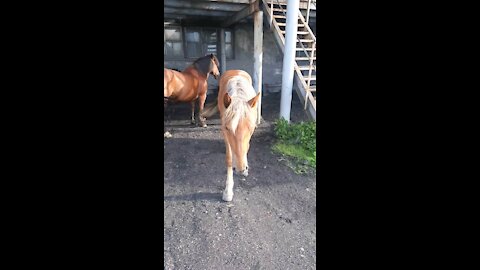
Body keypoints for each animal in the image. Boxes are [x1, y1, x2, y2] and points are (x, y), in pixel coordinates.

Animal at [201, 70, 260, 201]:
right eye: (228, 128)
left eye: (251, 128)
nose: (240, 168)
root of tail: (236, 70)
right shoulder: (225, 134)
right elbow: (229, 158)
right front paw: (228, 192)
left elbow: (245, 148)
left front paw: (244, 168)